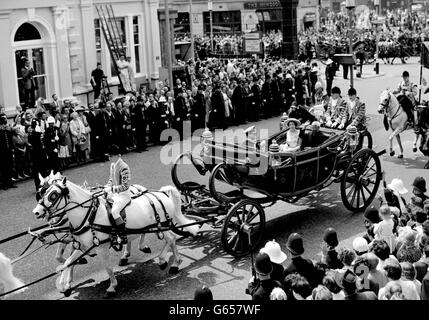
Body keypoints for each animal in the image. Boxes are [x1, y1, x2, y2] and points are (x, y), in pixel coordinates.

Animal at [32, 176, 199, 296]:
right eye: (42, 192)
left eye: (53, 195)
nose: (36, 212)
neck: (90, 216)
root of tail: (161, 193)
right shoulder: (84, 247)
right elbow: (68, 262)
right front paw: (65, 285)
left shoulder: (100, 248)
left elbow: (107, 268)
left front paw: (112, 287)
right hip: (153, 227)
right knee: (169, 239)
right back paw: (167, 260)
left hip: (161, 226)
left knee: (170, 239)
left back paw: (171, 262)